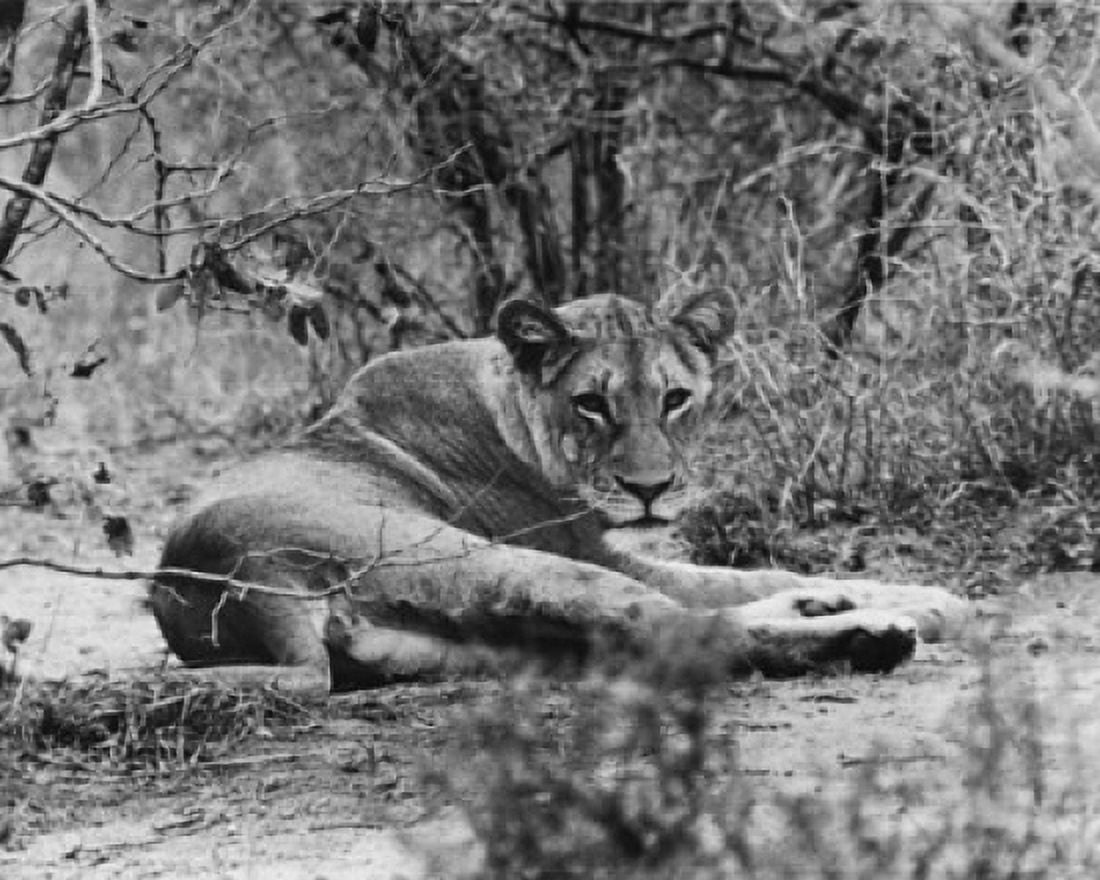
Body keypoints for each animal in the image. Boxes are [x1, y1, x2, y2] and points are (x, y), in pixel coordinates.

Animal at [151, 290, 967, 694]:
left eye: (675, 399)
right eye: (591, 404)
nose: (651, 489)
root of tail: (237, 576)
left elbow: (742, 576)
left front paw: (868, 591)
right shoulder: (591, 547)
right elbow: (735, 576)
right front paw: (936, 601)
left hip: (470, 647)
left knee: (656, 633)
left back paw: (831, 612)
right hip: (489, 563)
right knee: (686, 631)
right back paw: (871, 637)